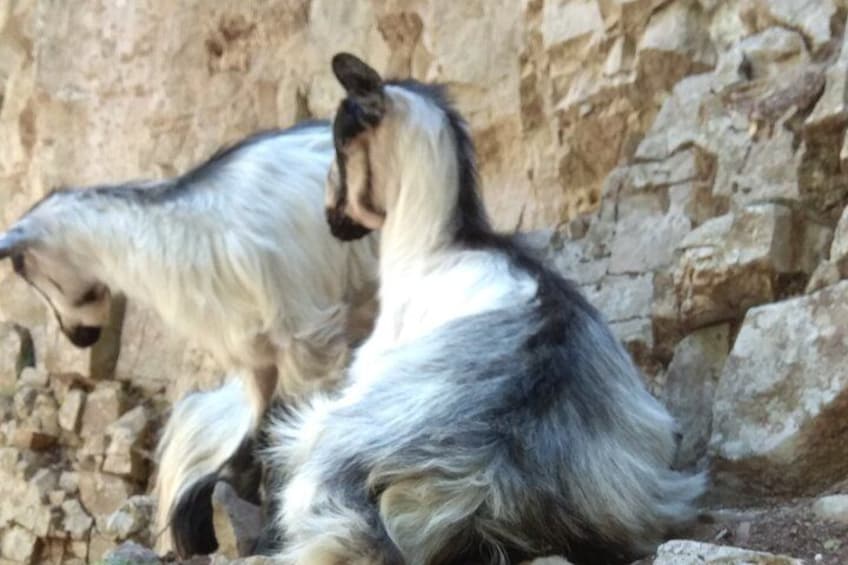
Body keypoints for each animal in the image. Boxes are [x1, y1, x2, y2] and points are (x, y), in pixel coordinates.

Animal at [0, 121, 379, 556]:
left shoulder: (307, 337)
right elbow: (253, 430)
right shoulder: (257, 354)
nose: (78, 336)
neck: (175, 230)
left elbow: (289, 425)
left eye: (25, 269)